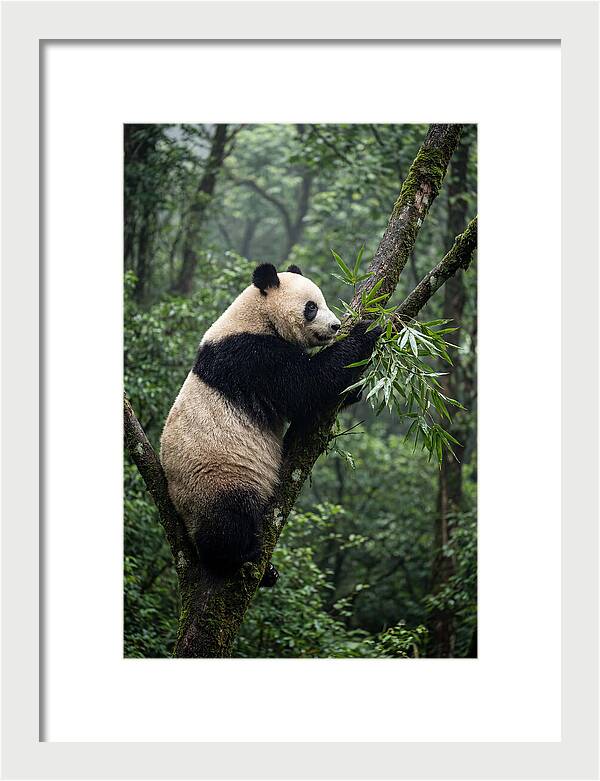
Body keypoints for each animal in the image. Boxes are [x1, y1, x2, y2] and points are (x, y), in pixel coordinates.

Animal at [160, 262, 380, 586]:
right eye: (311, 307)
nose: (336, 327)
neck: (256, 316)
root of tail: (180, 511)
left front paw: (355, 389)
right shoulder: (251, 357)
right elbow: (307, 386)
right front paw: (369, 328)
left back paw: (267, 571)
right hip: (215, 478)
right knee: (228, 521)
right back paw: (240, 557)